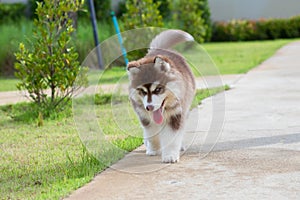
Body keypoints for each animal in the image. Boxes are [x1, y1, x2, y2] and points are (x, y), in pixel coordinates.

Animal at [127, 29, 196, 162]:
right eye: (143, 91)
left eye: (158, 89)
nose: (149, 107)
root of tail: (159, 50)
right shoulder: (144, 117)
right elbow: (152, 135)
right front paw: (153, 149)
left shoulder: (176, 115)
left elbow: (172, 137)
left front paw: (170, 155)